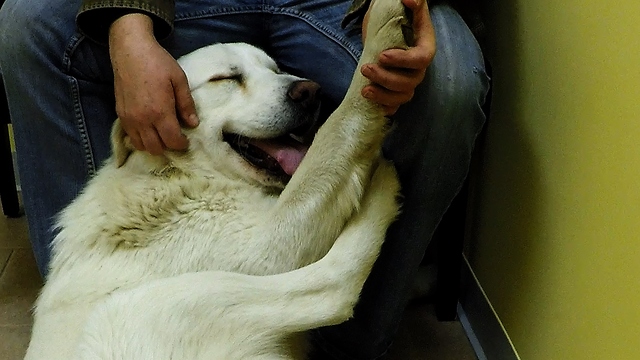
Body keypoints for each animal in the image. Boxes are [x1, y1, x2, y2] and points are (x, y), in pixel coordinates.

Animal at [23, 1, 410, 358]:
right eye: (226, 79)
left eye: (276, 70)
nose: (310, 92)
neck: (180, 174)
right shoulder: (267, 247)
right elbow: (337, 131)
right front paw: (382, 42)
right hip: (142, 306)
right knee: (334, 289)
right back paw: (383, 183)